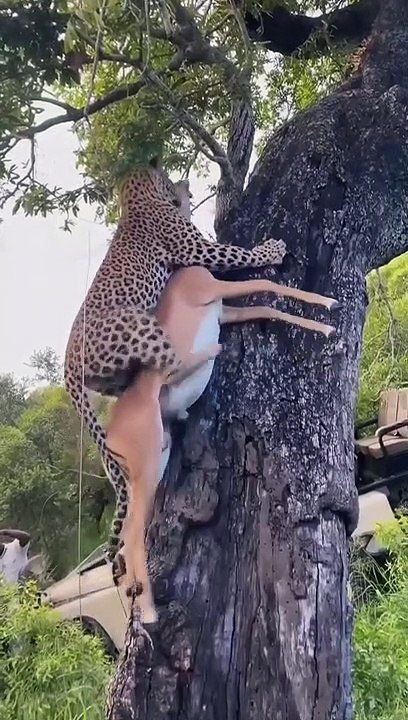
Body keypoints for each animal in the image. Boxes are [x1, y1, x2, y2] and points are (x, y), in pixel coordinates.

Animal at [64, 156, 287, 572]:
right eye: (168, 177)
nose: (184, 185)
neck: (134, 197)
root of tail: (67, 372)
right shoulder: (200, 248)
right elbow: (240, 253)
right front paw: (272, 249)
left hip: (114, 376)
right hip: (140, 323)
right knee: (171, 363)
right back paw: (207, 358)